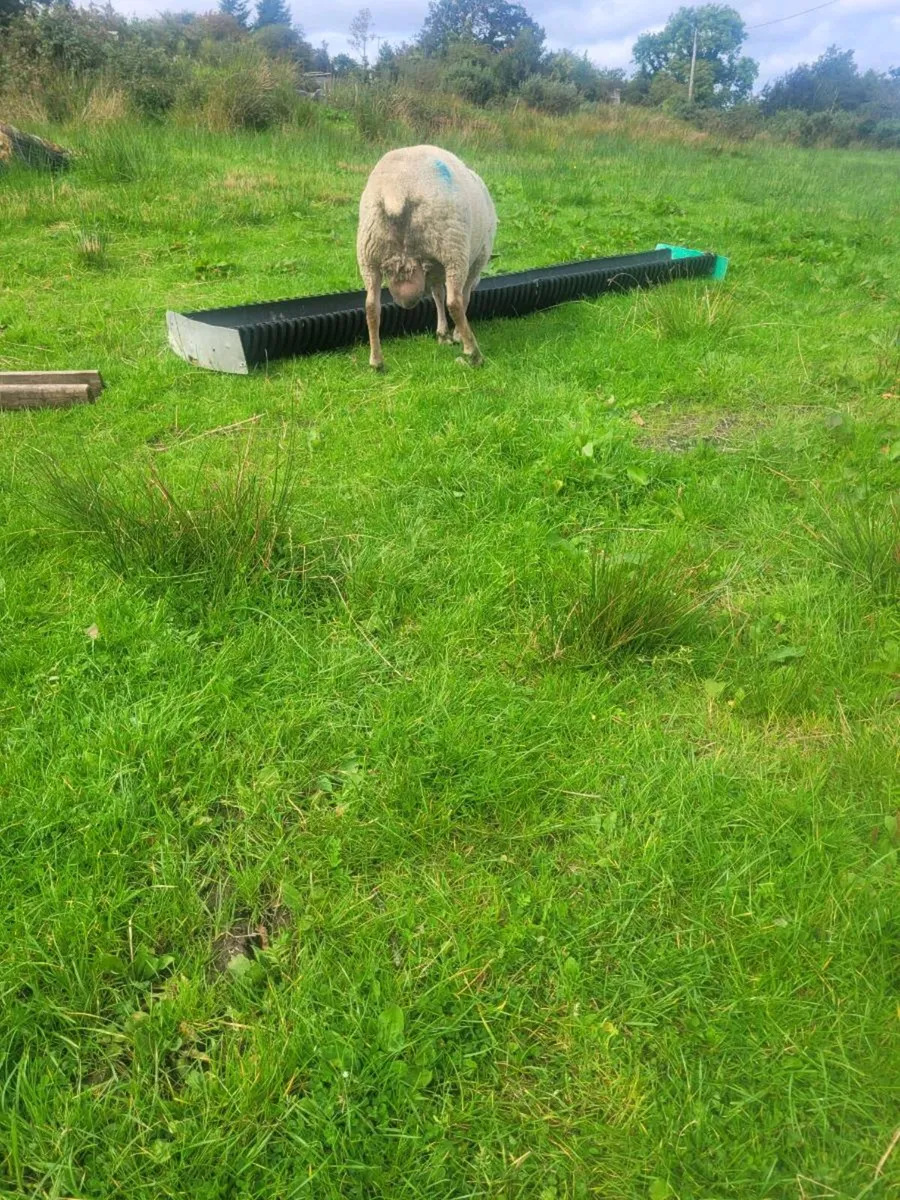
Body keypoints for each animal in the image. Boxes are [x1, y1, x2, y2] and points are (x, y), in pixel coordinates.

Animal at [356, 145, 497, 371]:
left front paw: (442, 333)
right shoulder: (476, 260)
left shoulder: (433, 269)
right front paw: (456, 334)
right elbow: (461, 296)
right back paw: (473, 353)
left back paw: (376, 362)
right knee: (455, 302)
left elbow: (437, 295)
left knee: (371, 306)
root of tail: (396, 189)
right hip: (453, 247)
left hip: (369, 253)